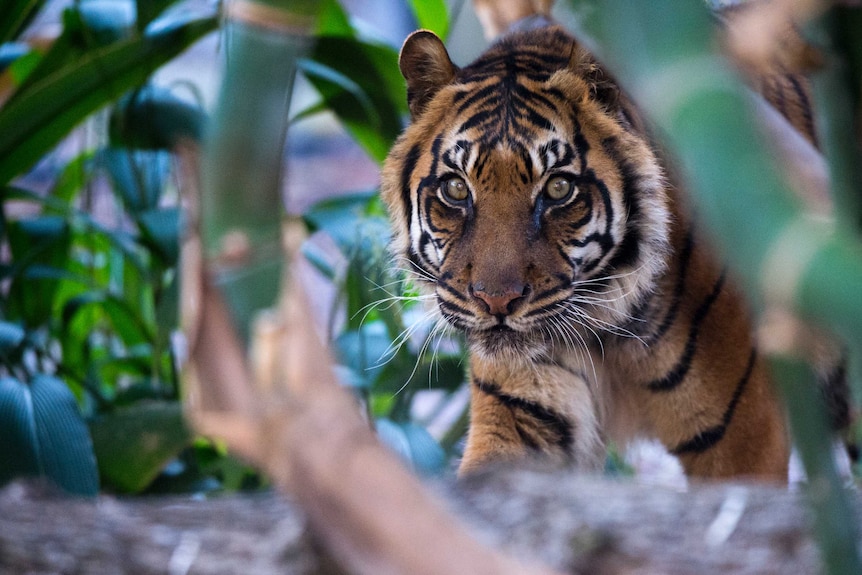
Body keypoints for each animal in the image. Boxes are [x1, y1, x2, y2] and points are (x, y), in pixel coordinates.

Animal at [380, 4, 852, 482]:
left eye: (558, 189)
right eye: (456, 189)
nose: (497, 302)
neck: (603, 330)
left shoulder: (741, 436)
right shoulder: (522, 410)